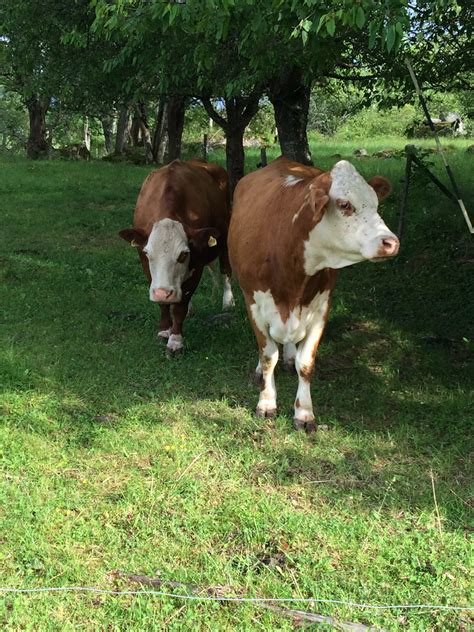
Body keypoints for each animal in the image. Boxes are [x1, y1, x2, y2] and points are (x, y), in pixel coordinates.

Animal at [119, 158, 234, 354]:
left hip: (225, 235)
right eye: (148, 253)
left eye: (183, 254)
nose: (163, 292)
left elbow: (180, 305)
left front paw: (175, 340)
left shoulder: (197, 263)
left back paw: (228, 301)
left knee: (225, 268)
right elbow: (164, 304)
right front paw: (164, 331)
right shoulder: (147, 268)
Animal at [228, 156, 398, 432]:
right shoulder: (254, 303)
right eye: (344, 204)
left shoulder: (320, 308)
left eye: (375, 203)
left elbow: (305, 363)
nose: (391, 242)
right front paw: (266, 402)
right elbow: (267, 355)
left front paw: (304, 412)